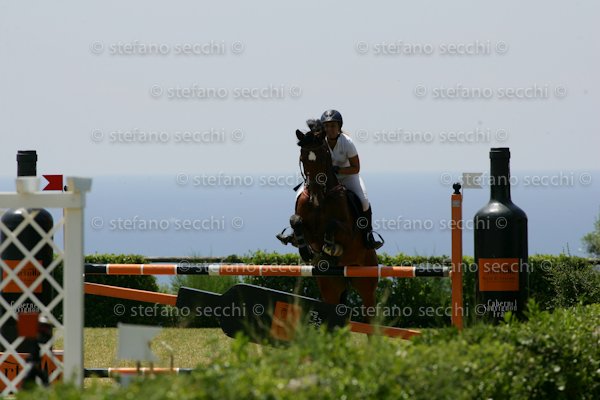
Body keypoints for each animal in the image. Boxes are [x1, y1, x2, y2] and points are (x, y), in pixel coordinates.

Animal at [277, 119, 379, 318]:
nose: (315, 195)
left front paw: (330, 247)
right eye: (303, 158)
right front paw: (306, 251)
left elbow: (331, 225)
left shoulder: (348, 234)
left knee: (369, 312)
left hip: (366, 282)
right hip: (329, 285)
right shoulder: (310, 232)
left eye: (324, 156)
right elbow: (295, 221)